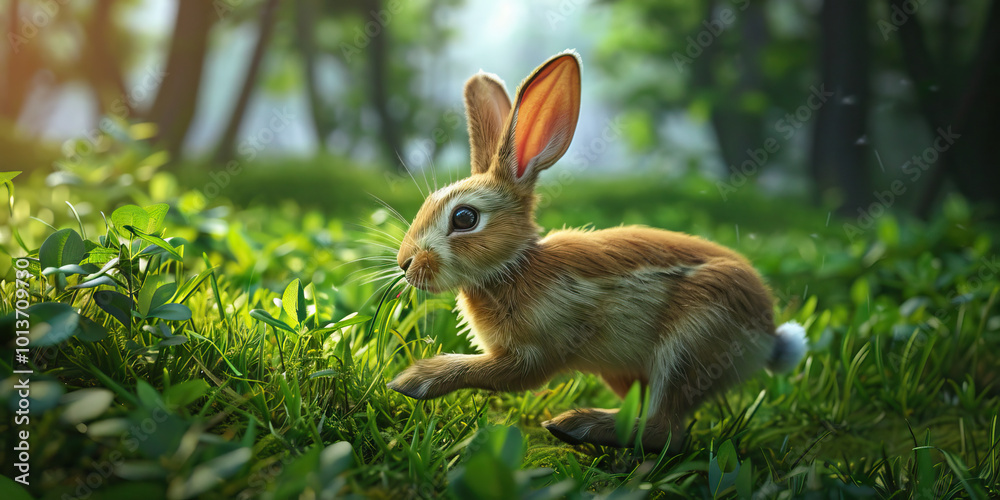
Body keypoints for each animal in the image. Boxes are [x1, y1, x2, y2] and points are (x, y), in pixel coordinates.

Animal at [387, 50, 808, 451]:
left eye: (464, 217)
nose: (405, 264)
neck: (514, 267)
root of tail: (767, 338)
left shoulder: (535, 352)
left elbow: (495, 373)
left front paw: (412, 380)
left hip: (690, 339)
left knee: (667, 430)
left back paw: (578, 425)